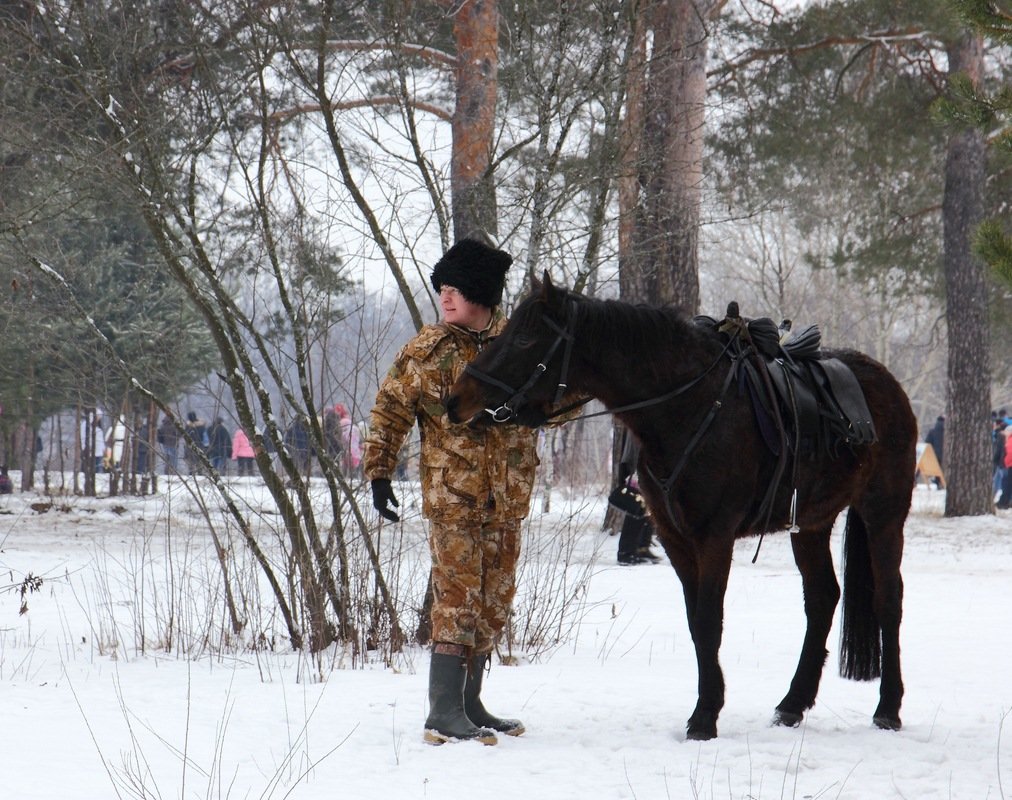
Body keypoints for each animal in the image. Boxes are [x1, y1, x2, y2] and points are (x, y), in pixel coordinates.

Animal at [445, 277, 918, 744]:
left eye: (525, 338)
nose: (456, 400)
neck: (689, 407)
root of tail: (887, 383)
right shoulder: (674, 538)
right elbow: (695, 623)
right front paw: (708, 706)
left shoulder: (715, 537)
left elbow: (709, 620)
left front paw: (705, 716)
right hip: (811, 525)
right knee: (822, 598)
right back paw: (792, 704)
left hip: (884, 514)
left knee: (889, 599)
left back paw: (889, 708)